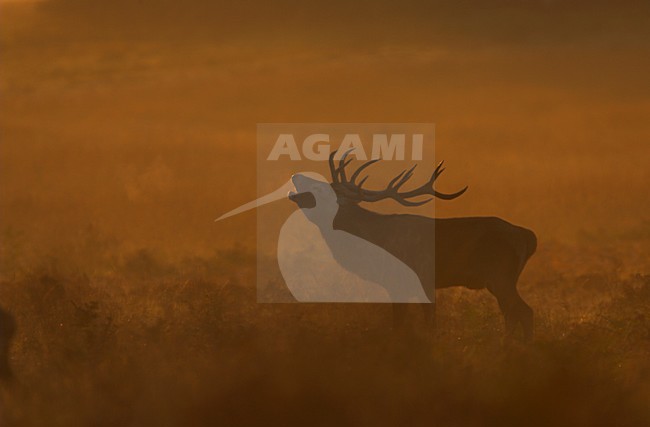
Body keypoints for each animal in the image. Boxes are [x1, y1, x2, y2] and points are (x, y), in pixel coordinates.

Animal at [287, 150, 537, 340]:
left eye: (320, 190)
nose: (297, 175)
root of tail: (528, 237)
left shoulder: (414, 279)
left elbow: (419, 323)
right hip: (501, 279)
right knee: (513, 314)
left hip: (500, 274)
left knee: (524, 312)